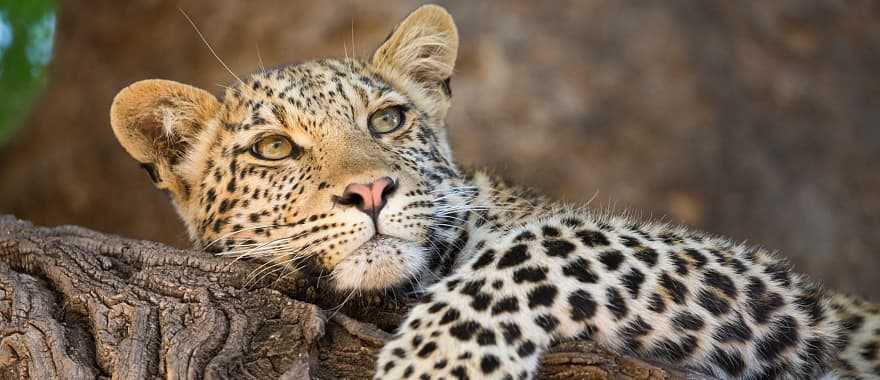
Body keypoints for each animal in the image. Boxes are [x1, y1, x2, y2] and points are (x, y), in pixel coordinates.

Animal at [110, 3, 880, 380]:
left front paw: (437, 364)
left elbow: (548, 243)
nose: (371, 191)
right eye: (274, 149)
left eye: (387, 120)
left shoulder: (774, 291)